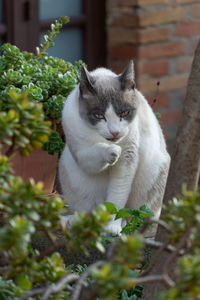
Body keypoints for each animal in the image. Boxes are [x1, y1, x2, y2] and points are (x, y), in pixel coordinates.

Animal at [58, 60, 170, 234]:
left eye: (124, 113)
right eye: (99, 116)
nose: (115, 132)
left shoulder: (127, 160)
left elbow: (117, 198)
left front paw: (112, 225)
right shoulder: (81, 153)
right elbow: (96, 153)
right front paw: (112, 151)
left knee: (138, 216)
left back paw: (123, 223)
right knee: (88, 212)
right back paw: (74, 221)